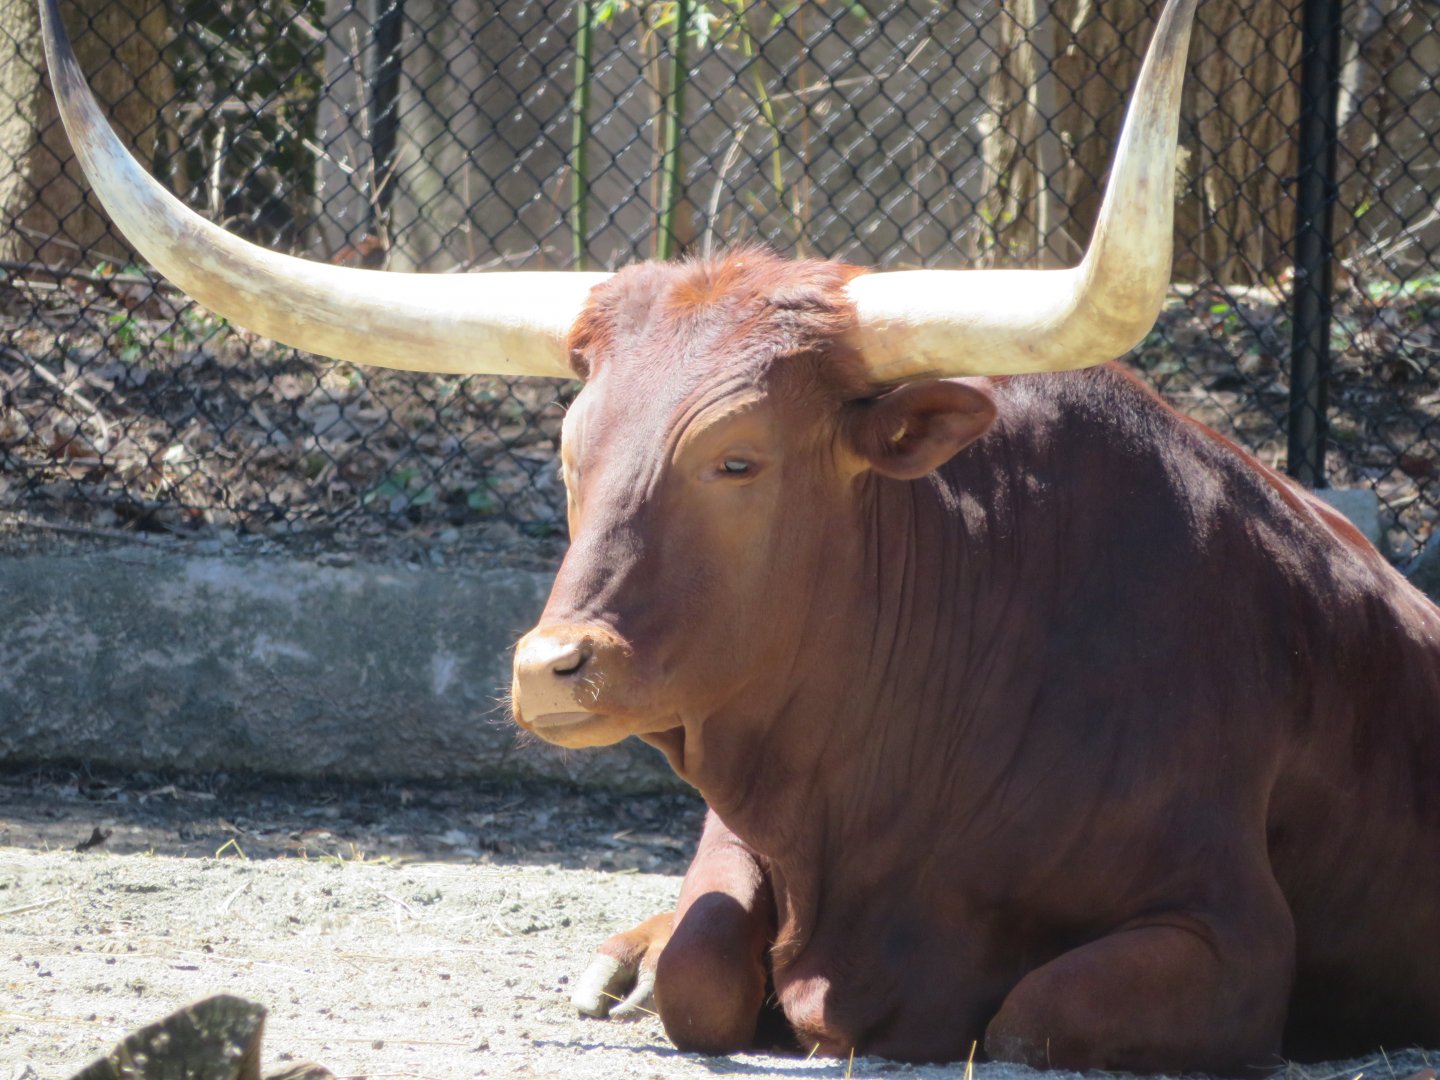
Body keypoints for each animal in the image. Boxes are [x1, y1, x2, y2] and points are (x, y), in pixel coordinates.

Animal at [40, 0, 1440, 1072]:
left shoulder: (1234, 937)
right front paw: (651, 958)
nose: (550, 670)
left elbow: (1029, 1015)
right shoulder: (747, 820)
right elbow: (704, 965)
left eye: (738, 458)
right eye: (570, 452)